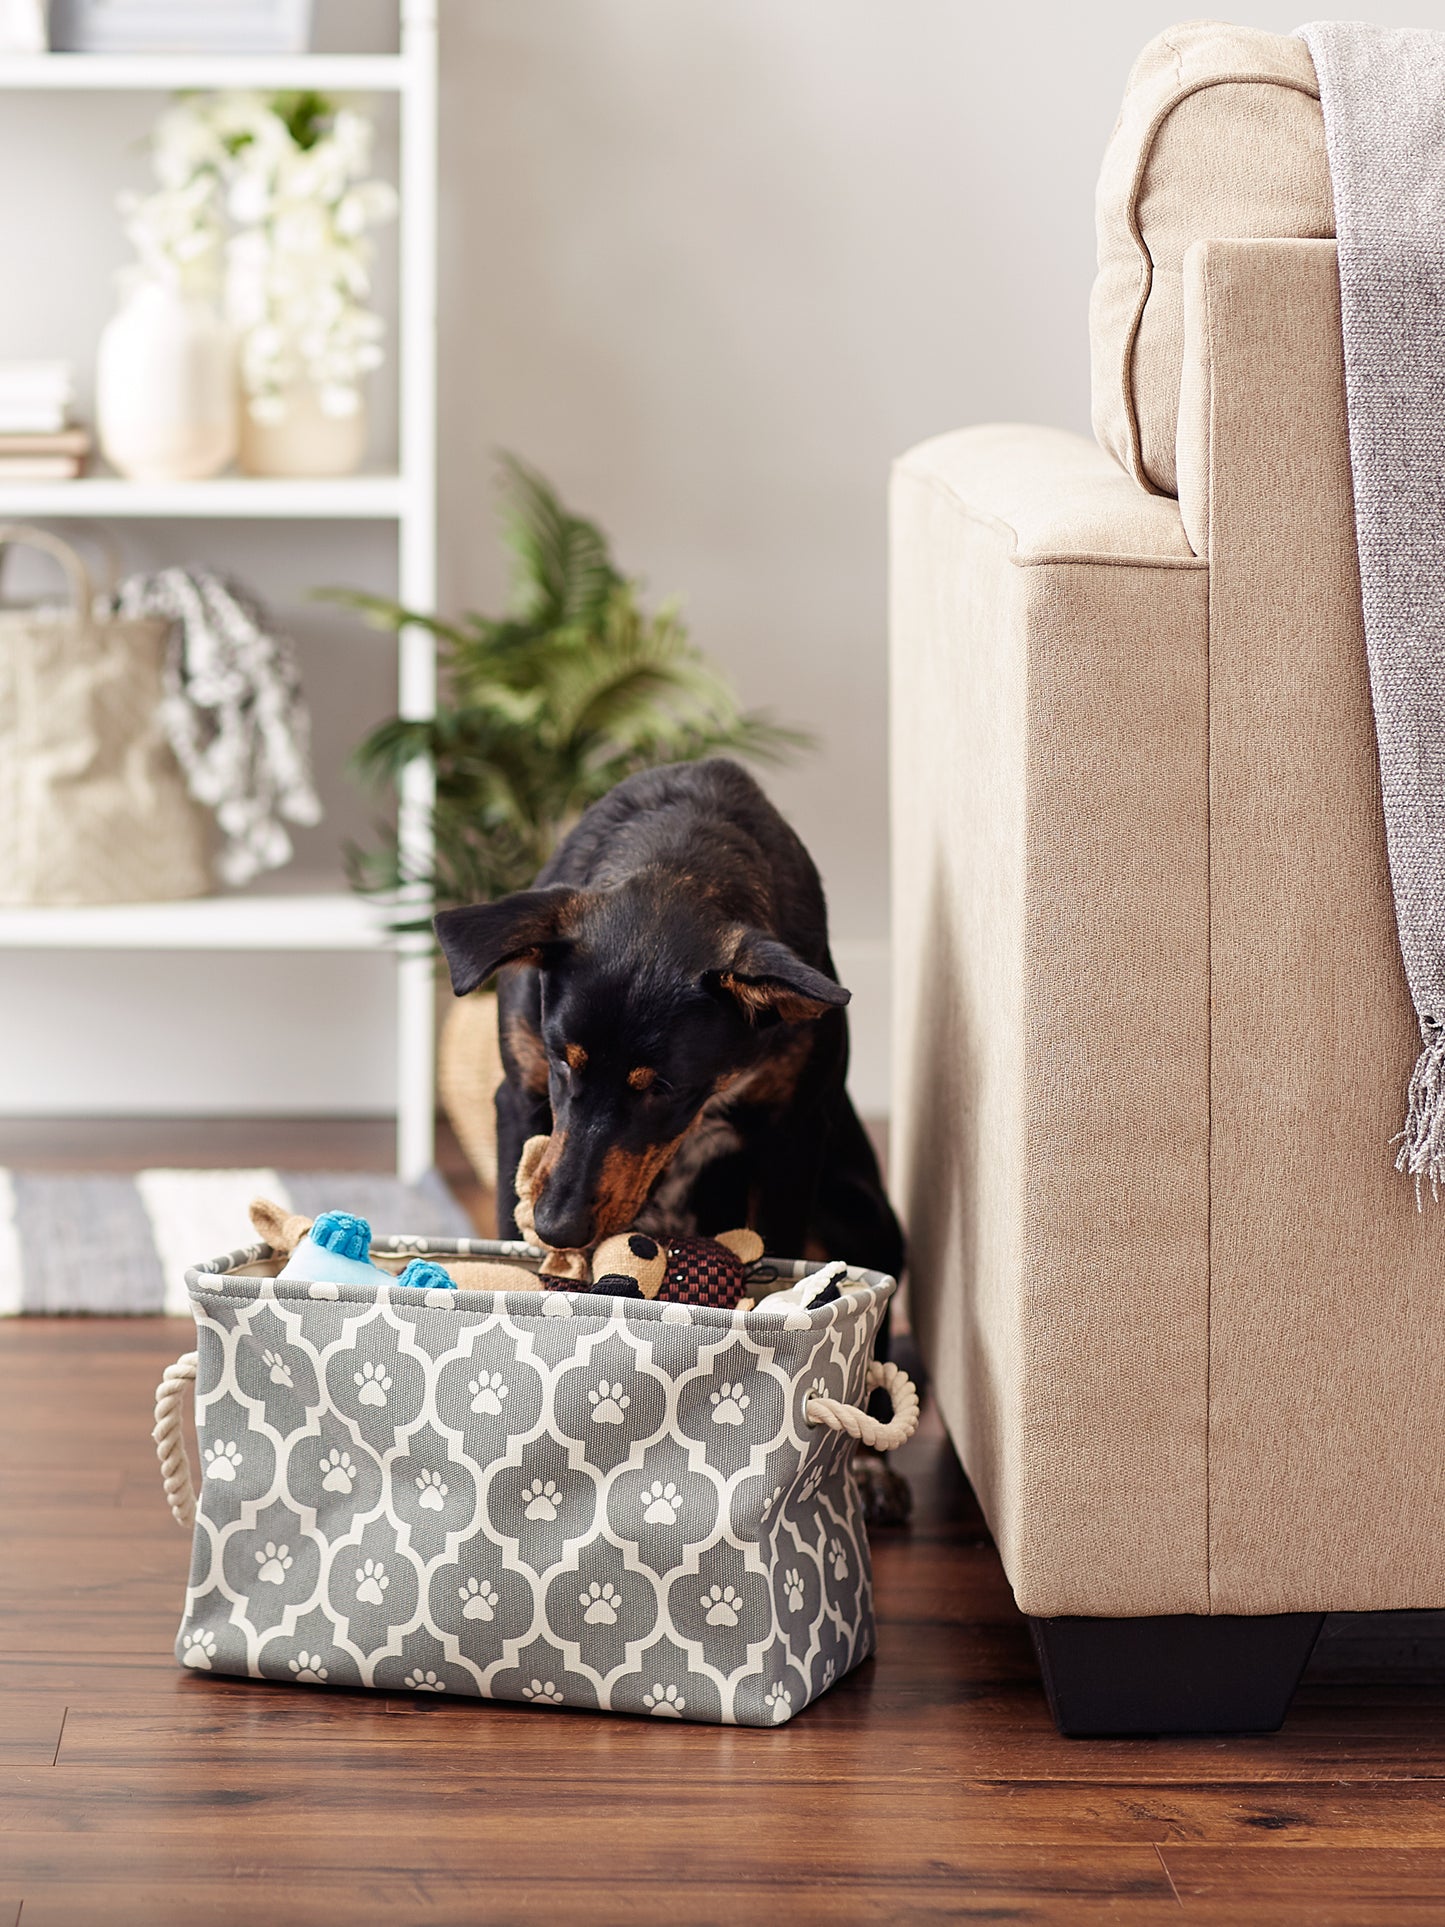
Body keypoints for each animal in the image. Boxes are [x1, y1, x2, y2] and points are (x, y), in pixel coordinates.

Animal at [433, 751, 905, 1279]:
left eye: (663, 1089)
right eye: (562, 1062)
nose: (557, 1228)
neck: (679, 862)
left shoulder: (793, 1128)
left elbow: (781, 1241)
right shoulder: (519, 1096)